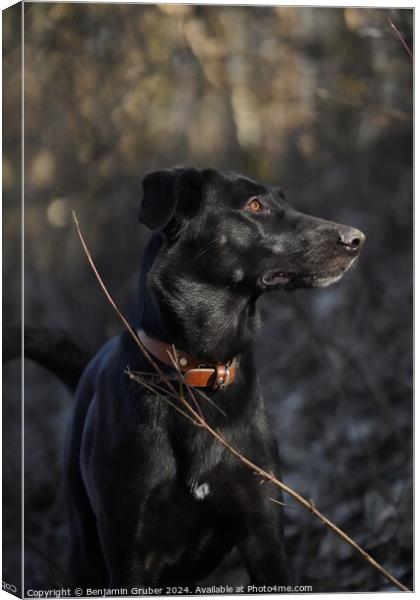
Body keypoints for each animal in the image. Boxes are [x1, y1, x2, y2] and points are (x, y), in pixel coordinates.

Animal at [62, 166, 364, 588]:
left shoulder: (264, 536)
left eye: (284, 200)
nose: (357, 239)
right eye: (255, 206)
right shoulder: (129, 555)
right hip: (86, 548)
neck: (199, 373)